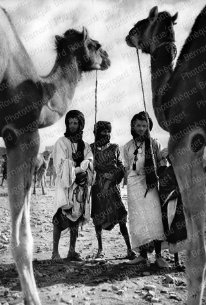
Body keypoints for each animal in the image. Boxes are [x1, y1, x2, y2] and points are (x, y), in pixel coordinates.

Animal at [0, 5, 110, 304]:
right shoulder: (22, 134)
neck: (40, 90)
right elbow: (23, 239)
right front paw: (32, 298)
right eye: (95, 45)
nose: (107, 58)